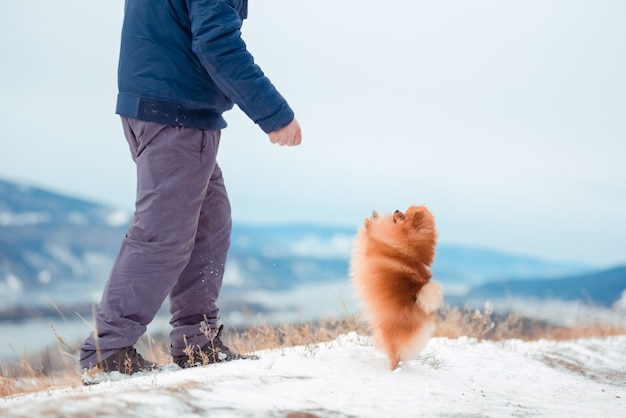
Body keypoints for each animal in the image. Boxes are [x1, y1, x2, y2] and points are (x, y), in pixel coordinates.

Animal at [348, 206, 442, 370]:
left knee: (395, 354)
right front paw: (375, 216)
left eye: (403, 217)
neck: (407, 249)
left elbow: (370, 232)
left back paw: (392, 369)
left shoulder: (371, 245)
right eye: (403, 211)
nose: (397, 210)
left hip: (389, 336)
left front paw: (370, 222)